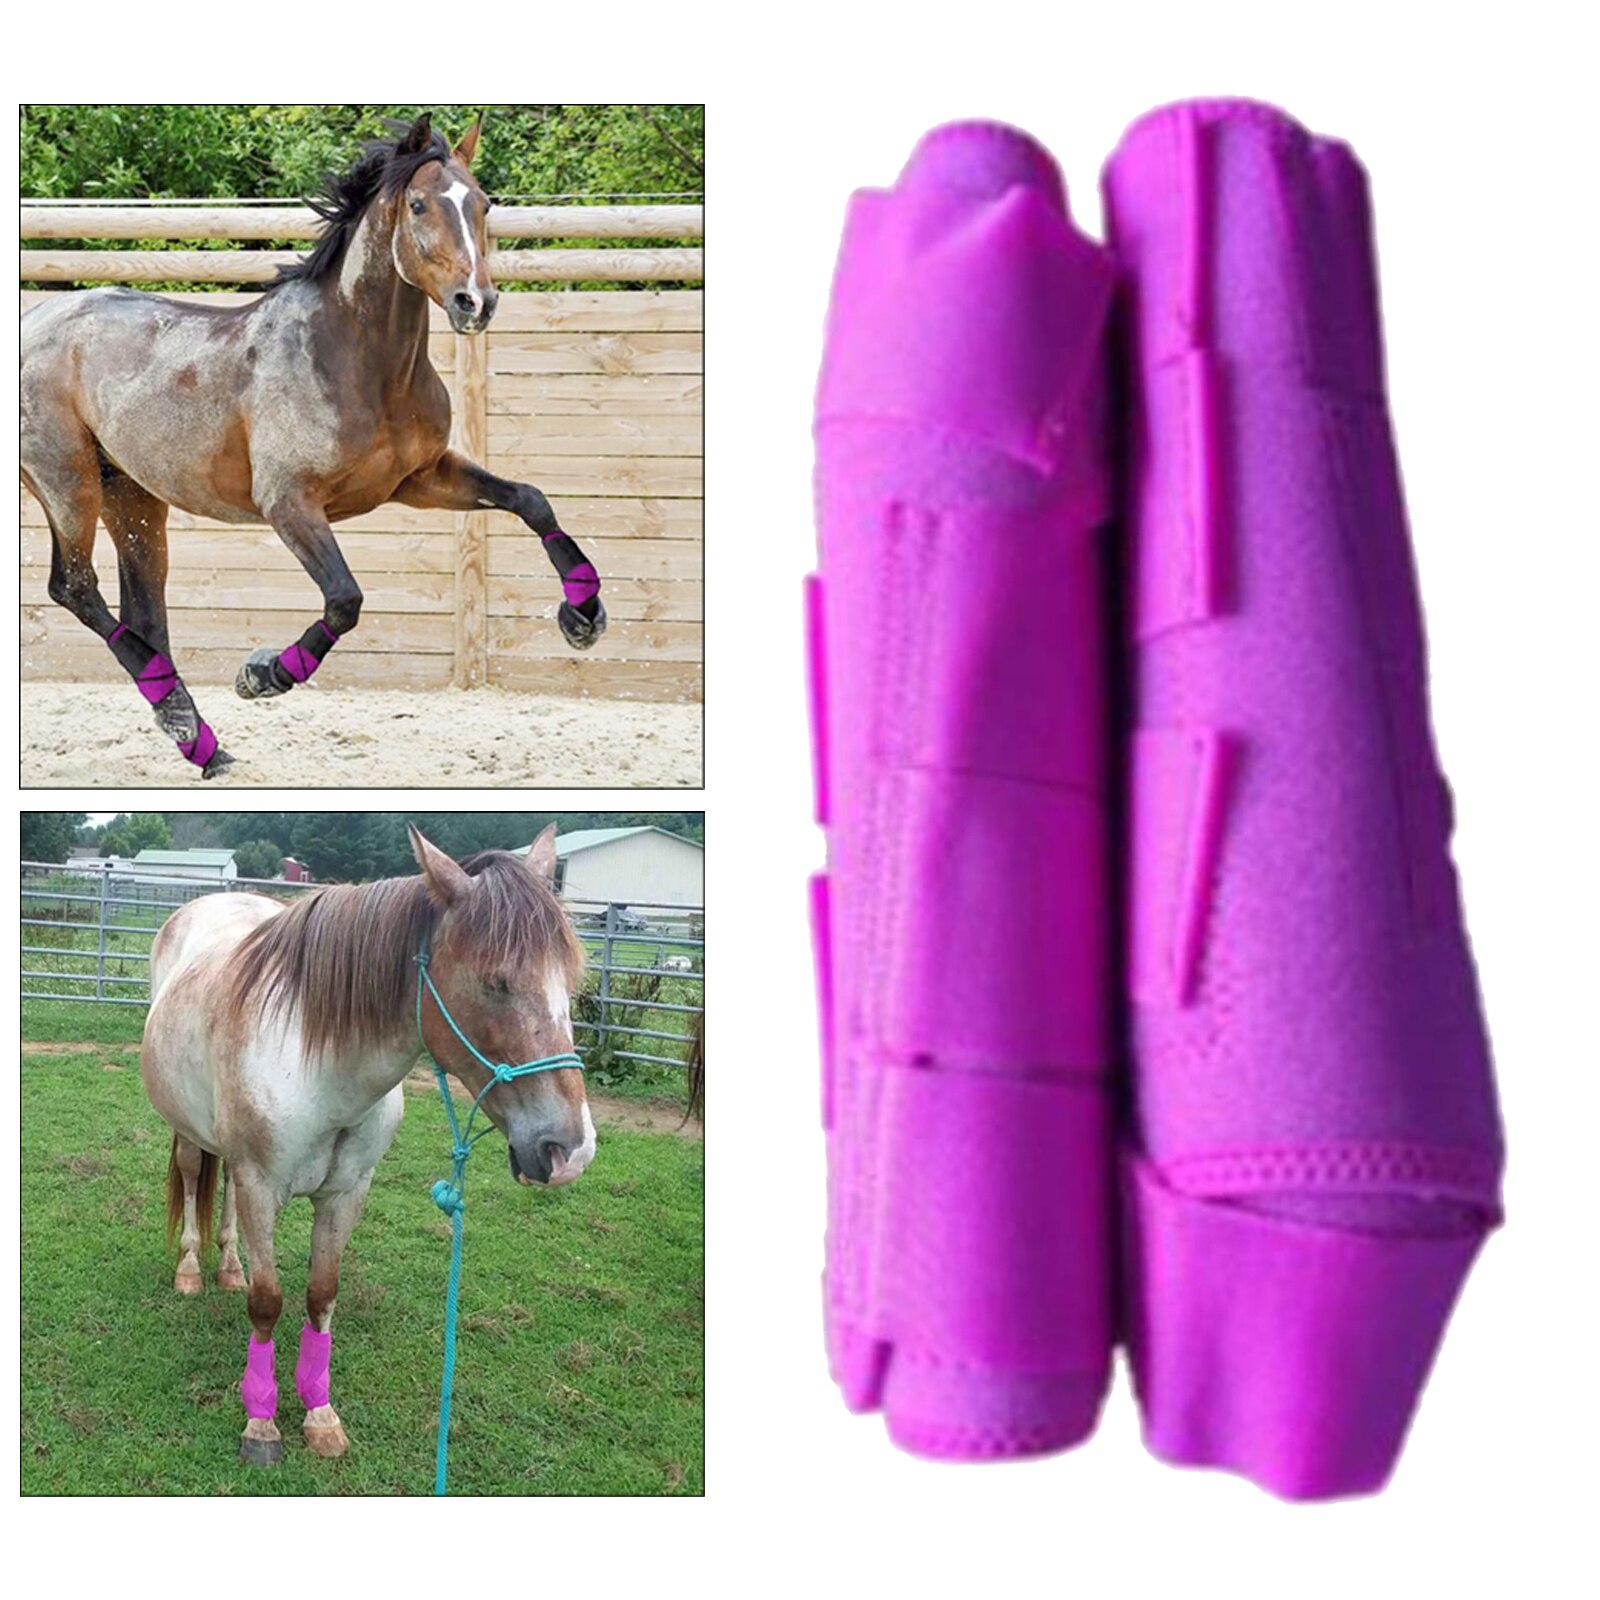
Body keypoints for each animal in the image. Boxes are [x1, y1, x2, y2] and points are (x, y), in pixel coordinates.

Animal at [21, 113, 607, 778]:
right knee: (74, 587)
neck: (360, 362)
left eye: (483, 204)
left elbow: (531, 500)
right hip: (68, 482)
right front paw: (263, 674)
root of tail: (32, 322)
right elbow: (345, 599)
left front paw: (584, 617)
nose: (475, 303)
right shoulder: (289, 504)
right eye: (419, 205)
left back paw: (196, 737)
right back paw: (192, 724)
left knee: (143, 607)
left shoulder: (423, 478)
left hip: (134, 494)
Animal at [139, 823, 595, 1465]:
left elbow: (321, 1294)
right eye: (495, 982)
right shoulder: (261, 1185)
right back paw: (189, 1271)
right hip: (185, 1129)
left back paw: (228, 1267)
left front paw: (320, 1414)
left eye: (569, 983)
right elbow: (268, 1301)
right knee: (189, 1174)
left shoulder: (347, 1193)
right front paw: (262, 1423)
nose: (569, 1150)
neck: (320, 1067)